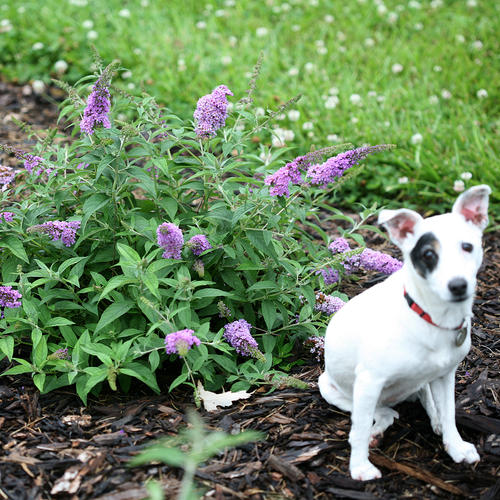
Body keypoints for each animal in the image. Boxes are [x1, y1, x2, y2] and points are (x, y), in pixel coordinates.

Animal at [318, 184, 490, 480]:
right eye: (428, 254)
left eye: (467, 247)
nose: (458, 285)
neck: (432, 318)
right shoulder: (369, 381)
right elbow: (359, 429)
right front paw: (360, 467)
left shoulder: (445, 375)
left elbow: (449, 413)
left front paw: (455, 446)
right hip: (333, 389)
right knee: (383, 414)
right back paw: (377, 431)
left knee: (419, 401)